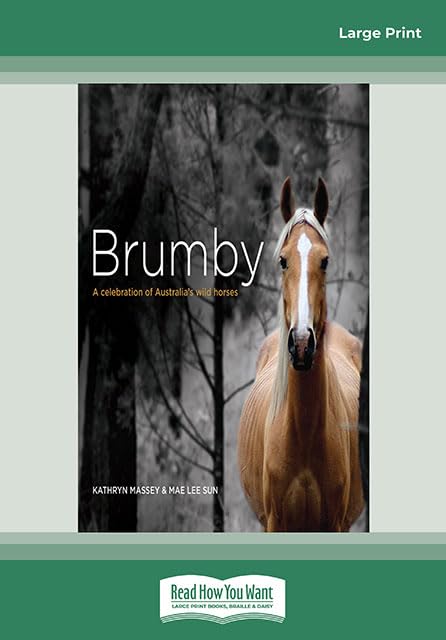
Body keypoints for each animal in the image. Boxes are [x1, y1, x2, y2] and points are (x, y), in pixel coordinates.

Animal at [238, 177, 364, 532]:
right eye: (283, 260)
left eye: (325, 260)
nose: (303, 343)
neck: (304, 432)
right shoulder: (275, 523)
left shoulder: (335, 524)